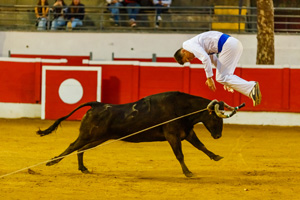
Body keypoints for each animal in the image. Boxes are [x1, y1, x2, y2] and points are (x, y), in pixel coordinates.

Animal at [37, 91, 244, 177]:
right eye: (216, 118)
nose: (218, 136)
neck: (183, 108)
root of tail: (97, 105)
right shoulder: (172, 135)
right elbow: (180, 154)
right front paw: (188, 172)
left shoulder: (187, 132)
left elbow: (201, 146)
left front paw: (216, 156)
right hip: (88, 135)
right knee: (73, 146)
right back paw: (52, 162)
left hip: (99, 138)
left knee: (81, 149)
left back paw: (83, 168)